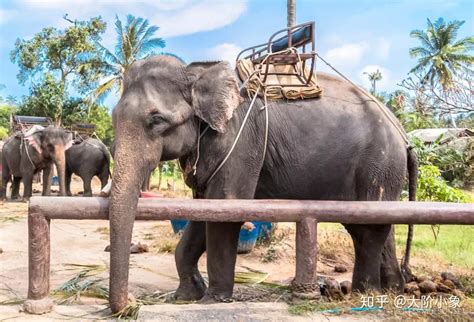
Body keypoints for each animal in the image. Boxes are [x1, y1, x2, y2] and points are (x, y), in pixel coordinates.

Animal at [106, 56, 414, 314]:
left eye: (156, 120)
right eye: (113, 117)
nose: (131, 306)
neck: (197, 72)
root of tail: (403, 133)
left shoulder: (240, 141)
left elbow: (225, 208)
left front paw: (212, 300)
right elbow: (204, 208)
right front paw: (185, 296)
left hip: (379, 162)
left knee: (368, 226)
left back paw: (364, 294)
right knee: (377, 224)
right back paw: (391, 290)